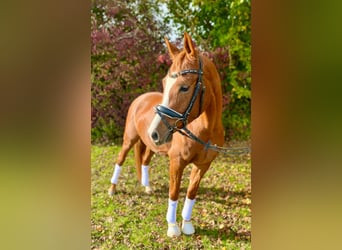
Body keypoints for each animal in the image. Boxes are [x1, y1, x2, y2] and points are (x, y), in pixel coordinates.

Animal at [107, 32, 224, 237]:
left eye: (184, 87)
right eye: (164, 83)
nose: (154, 132)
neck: (205, 130)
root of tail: (140, 98)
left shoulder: (203, 165)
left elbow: (191, 193)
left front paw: (187, 225)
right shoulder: (176, 162)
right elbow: (174, 193)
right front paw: (173, 228)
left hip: (152, 146)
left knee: (145, 161)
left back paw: (147, 187)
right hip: (129, 140)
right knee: (120, 160)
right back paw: (112, 189)